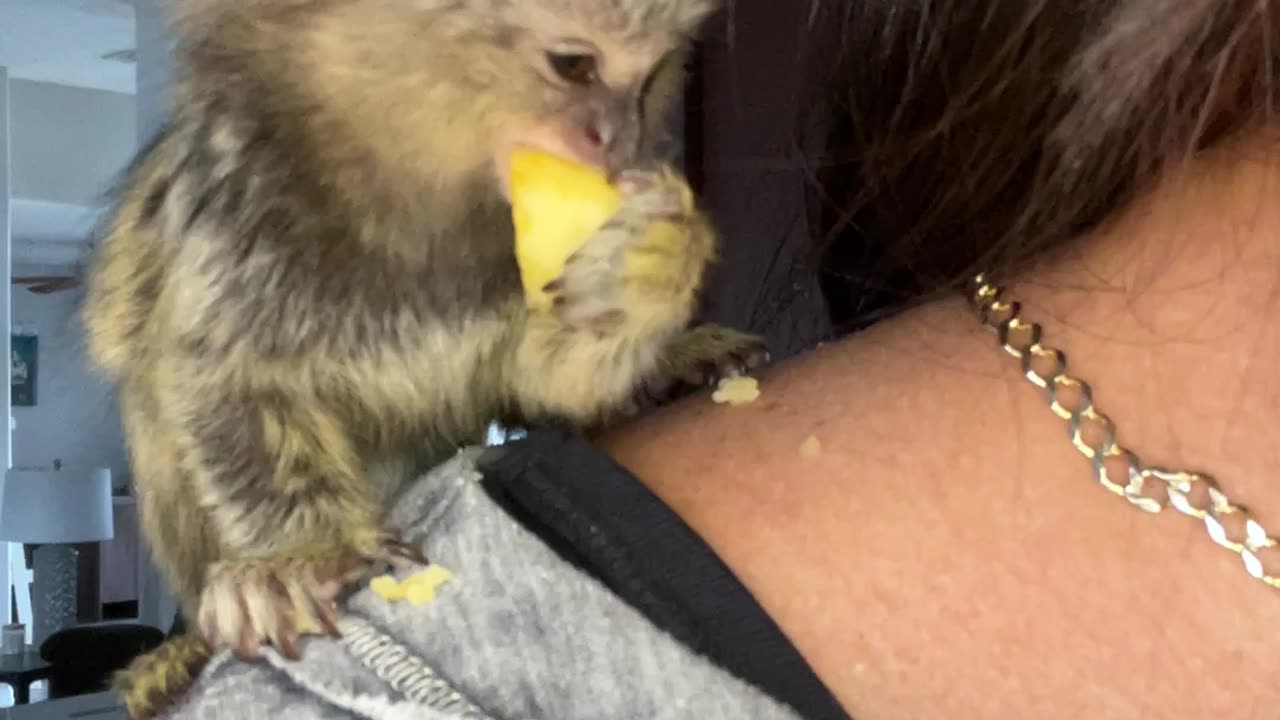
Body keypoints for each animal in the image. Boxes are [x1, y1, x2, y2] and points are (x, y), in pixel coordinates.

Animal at [82, 0, 757, 712]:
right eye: (574, 65)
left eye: (652, 77)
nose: (618, 141)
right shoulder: (235, 221)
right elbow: (217, 379)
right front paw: (299, 561)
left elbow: (545, 376)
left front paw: (649, 263)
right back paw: (182, 652)